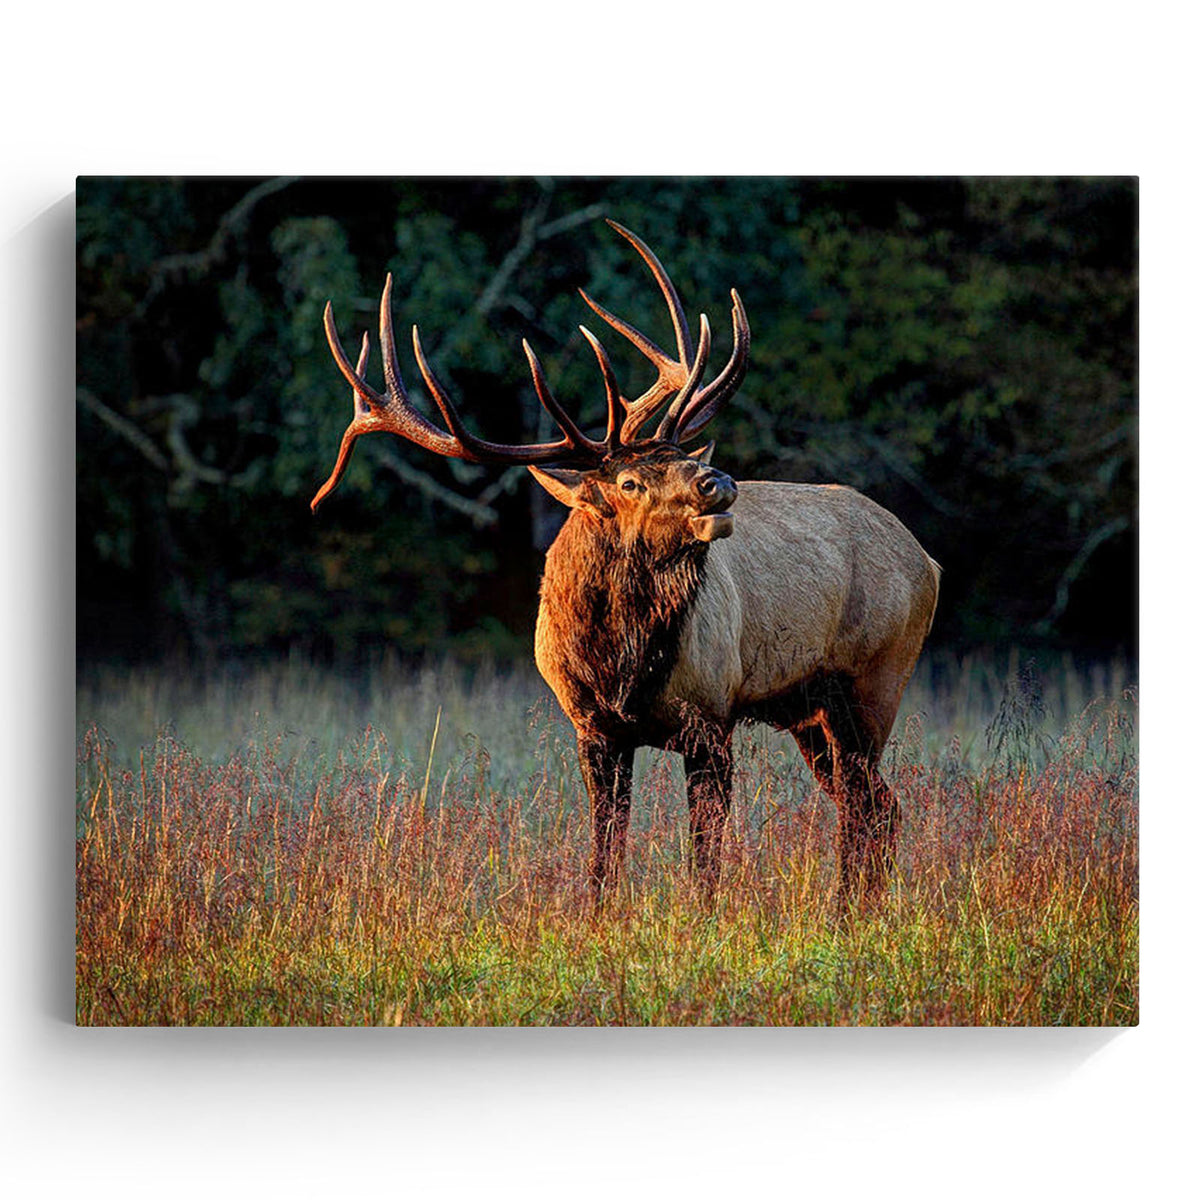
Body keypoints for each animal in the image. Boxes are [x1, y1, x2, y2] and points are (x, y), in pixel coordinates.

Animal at [310, 219, 940, 909]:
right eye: (631, 481)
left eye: (682, 457)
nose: (718, 483)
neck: (621, 663)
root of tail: (928, 559)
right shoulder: (592, 727)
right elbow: (605, 852)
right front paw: (598, 917)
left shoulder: (710, 716)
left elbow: (704, 859)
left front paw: (701, 921)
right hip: (814, 710)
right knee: (874, 806)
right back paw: (853, 910)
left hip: (874, 679)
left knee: (869, 806)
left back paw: (850, 911)